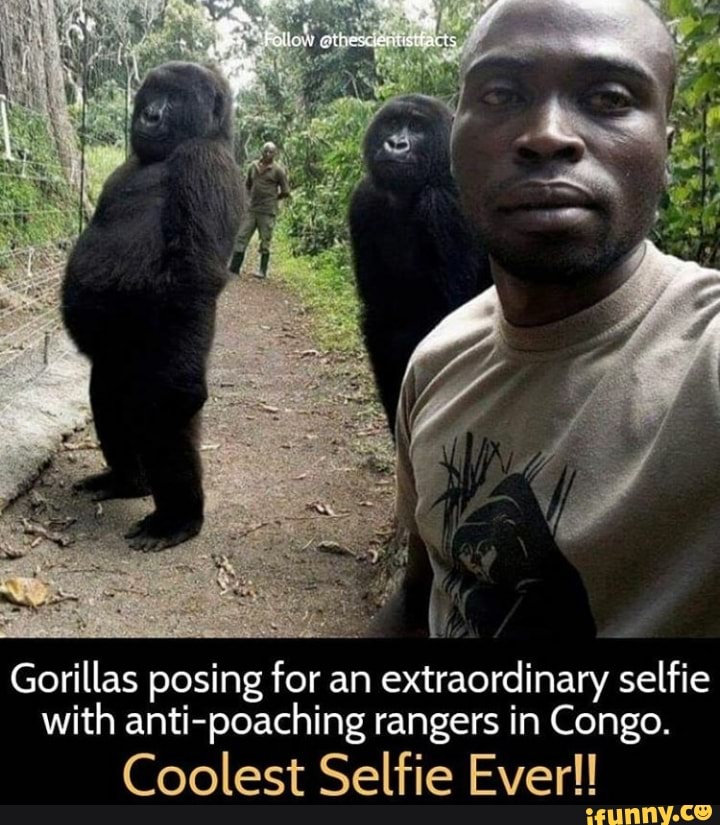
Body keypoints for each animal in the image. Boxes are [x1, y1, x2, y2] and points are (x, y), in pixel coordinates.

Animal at [62, 61, 242, 552]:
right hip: (116, 362)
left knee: (165, 414)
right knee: (106, 394)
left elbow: (193, 278)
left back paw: (177, 518)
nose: (150, 115)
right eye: (152, 94)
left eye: (175, 99)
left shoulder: (204, 164)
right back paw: (127, 480)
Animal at [348, 96, 492, 438]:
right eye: (391, 123)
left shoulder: (444, 204)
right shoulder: (363, 200)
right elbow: (383, 323)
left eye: (416, 127)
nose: (396, 144)